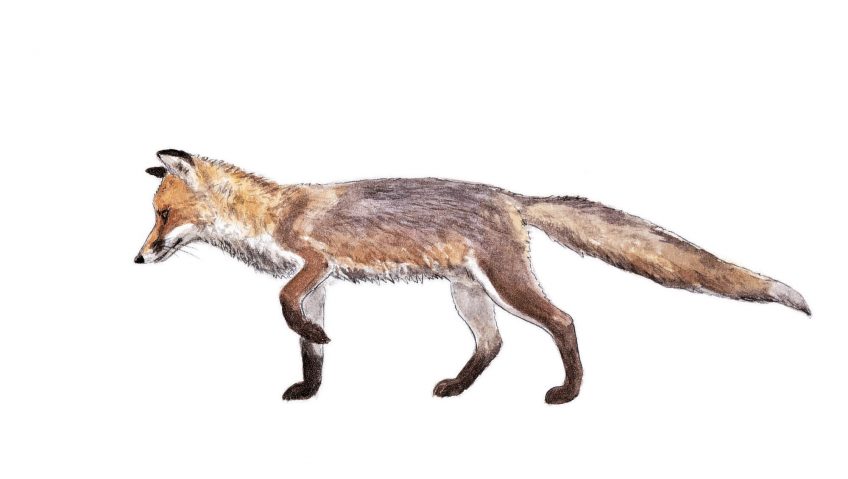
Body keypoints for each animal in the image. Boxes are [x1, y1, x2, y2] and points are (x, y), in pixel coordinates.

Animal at [136, 149, 810, 404]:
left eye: (162, 216)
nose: (138, 259)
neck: (270, 214)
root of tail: (513, 196)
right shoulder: (320, 282)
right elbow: (307, 344)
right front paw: (310, 386)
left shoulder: (313, 264)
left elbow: (283, 304)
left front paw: (316, 343)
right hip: (468, 294)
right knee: (493, 343)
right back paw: (458, 387)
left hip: (506, 286)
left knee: (563, 321)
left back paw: (569, 392)